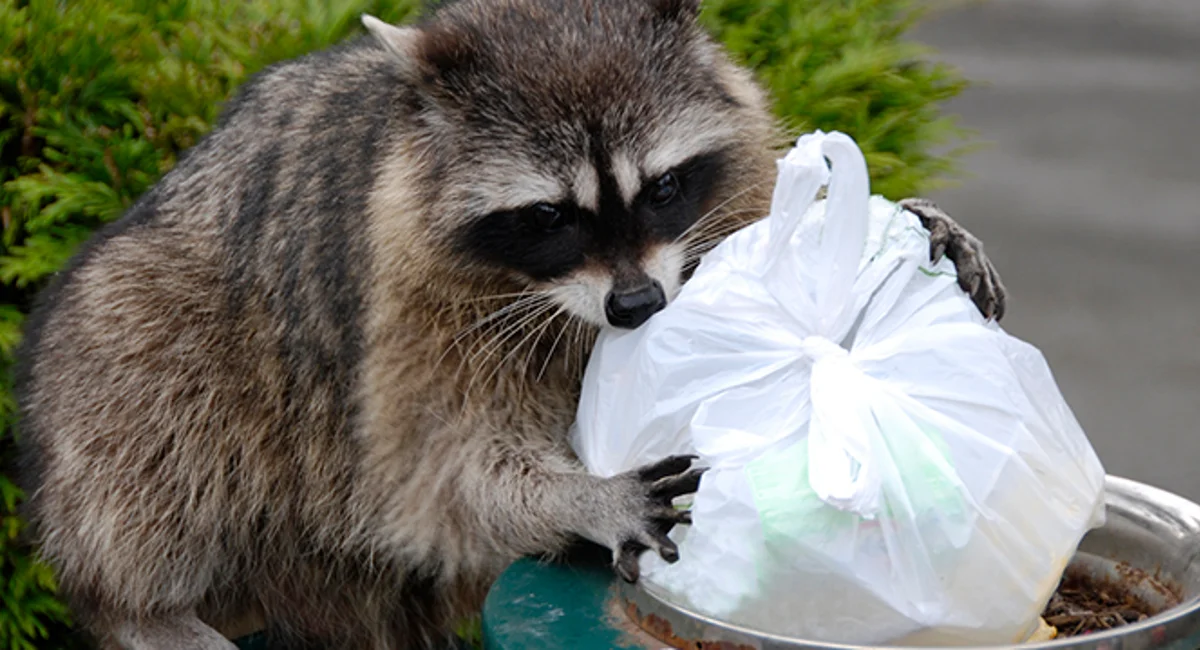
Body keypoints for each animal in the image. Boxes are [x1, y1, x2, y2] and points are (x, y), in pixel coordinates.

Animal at [14, 1, 1006, 648]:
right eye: (548, 216)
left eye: (662, 187)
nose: (637, 308)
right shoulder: (406, 311)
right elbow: (438, 474)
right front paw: (580, 496)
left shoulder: (729, 185)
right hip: (144, 324)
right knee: (144, 387)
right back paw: (140, 606)